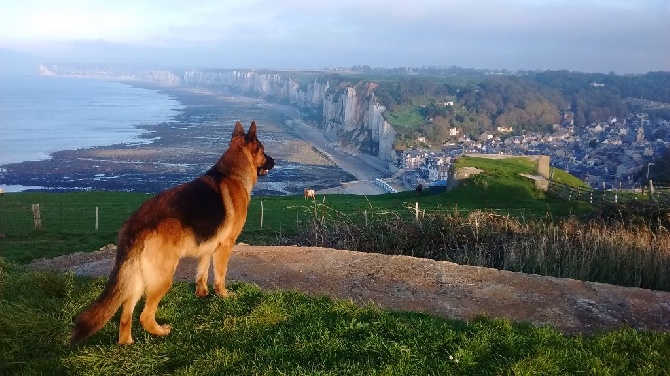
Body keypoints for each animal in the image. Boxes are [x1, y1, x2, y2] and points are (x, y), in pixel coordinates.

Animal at [71, 122, 276, 346]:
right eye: (263, 150)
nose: (275, 161)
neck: (232, 173)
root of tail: (136, 223)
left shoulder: (207, 245)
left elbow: (202, 270)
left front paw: (201, 293)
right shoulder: (225, 246)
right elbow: (220, 275)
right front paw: (223, 295)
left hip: (137, 277)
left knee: (125, 314)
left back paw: (127, 342)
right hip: (163, 276)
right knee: (144, 315)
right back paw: (161, 332)